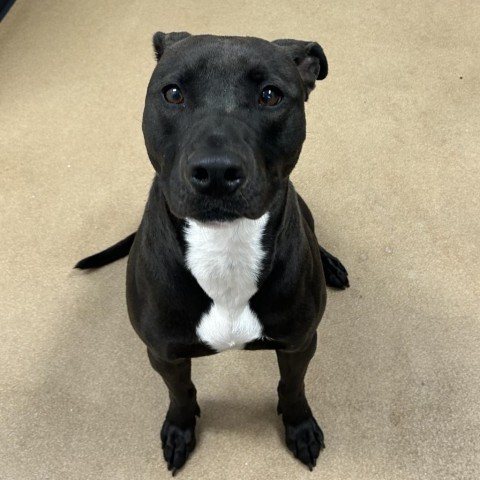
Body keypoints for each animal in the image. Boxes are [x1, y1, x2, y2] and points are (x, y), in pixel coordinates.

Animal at [77, 31, 350, 474]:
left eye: (270, 95)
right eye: (173, 93)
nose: (217, 172)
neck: (225, 249)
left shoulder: (299, 343)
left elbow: (293, 386)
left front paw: (300, 427)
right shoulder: (163, 354)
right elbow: (181, 392)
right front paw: (179, 429)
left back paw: (331, 264)